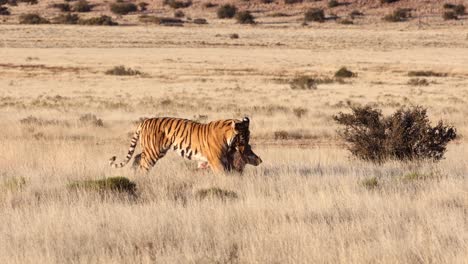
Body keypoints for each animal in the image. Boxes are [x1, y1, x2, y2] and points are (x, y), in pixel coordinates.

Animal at [110, 116, 264, 172]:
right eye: (244, 139)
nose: (244, 149)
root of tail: (145, 121)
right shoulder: (216, 161)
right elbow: (223, 174)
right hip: (152, 152)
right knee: (143, 165)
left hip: (153, 150)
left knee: (137, 158)